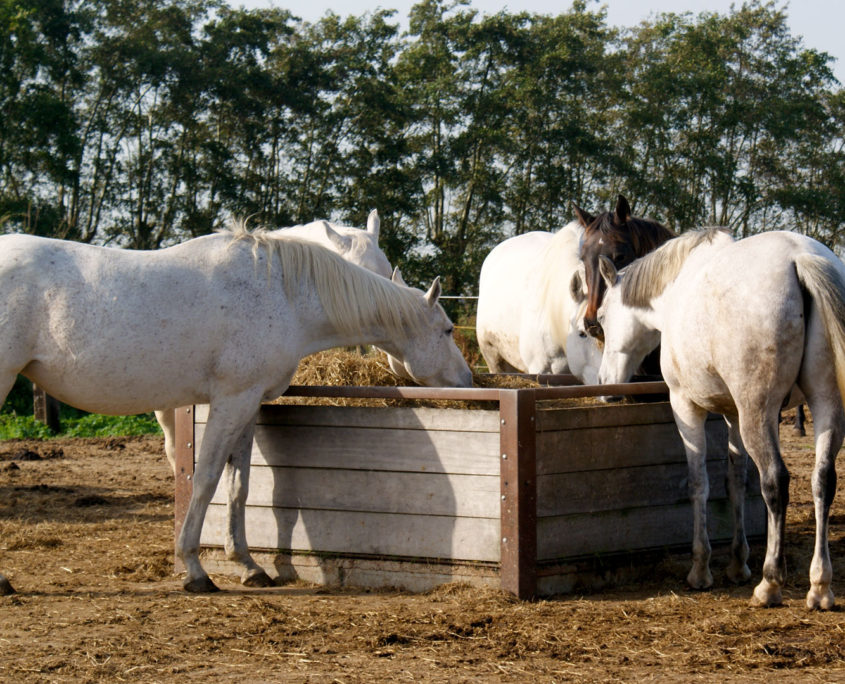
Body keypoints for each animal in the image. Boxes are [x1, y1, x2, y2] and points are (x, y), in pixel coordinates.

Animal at [595, 228, 845, 610]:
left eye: (602, 318)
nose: (605, 384)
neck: (676, 287)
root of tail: (800, 256)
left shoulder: (686, 407)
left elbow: (699, 484)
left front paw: (701, 569)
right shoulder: (733, 415)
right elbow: (735, 482)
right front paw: (738, 564)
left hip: (760, 413)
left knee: (775, 482)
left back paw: (770, 584)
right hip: (825, 404)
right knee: (823, 481)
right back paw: (819, 586)